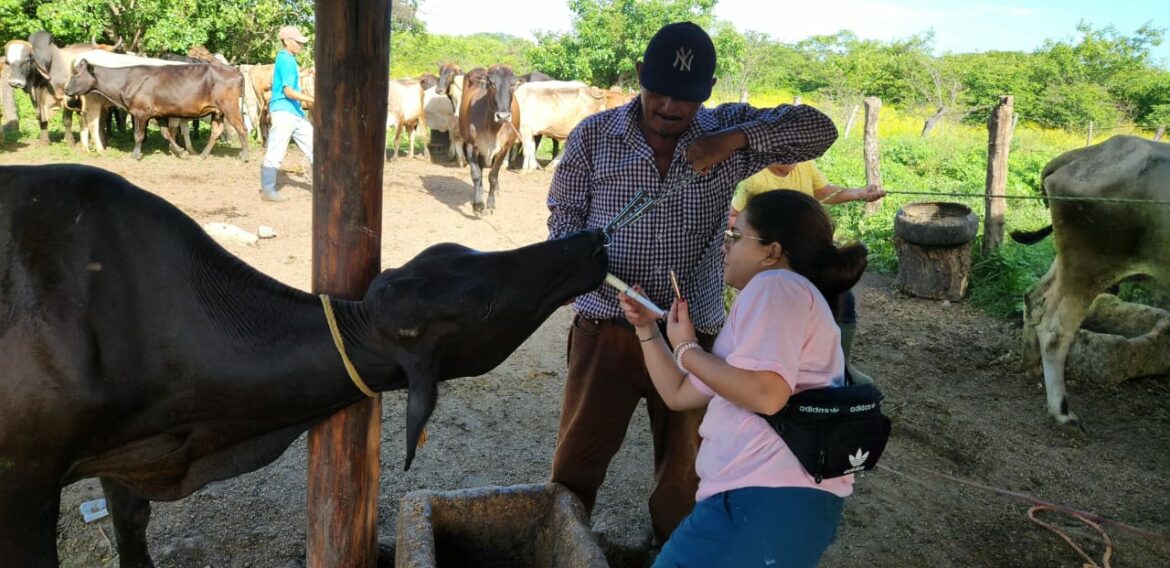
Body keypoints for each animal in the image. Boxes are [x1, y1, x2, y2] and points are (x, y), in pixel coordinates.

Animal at [0, 161, 608, 566]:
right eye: (483, 303)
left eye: (460, 250)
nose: (591, 240)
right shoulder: (25, 475)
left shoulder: (124, 452)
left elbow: (132, 527)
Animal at [65, 60, 249, 160]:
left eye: (77, 75)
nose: (66, 90)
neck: (124, 81)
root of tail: (235, 70)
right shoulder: (158, 113)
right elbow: (166, 133)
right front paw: (181, 151)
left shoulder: (140, 112)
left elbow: (138, 135)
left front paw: (136, 154)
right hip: (218, 111)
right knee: (216, 132)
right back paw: (203, 155)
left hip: (229, 106)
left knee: (242, 128)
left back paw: (244, 156)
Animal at [458, 64, 524, 214]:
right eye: (492, 84)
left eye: (513, 84)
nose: (503, 116)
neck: (493, 127)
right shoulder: (471, 145)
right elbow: (476, 174)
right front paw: (478, 204)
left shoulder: (504, 148)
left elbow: (493, 176)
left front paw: (490, 203)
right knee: (481, 170)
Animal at [1010, 135, 1165, 423]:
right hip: (1090, 266)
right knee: (1055, 331)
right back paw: (1062, 412)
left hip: (1067, 260)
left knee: (1035, 296)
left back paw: (1032, 365)